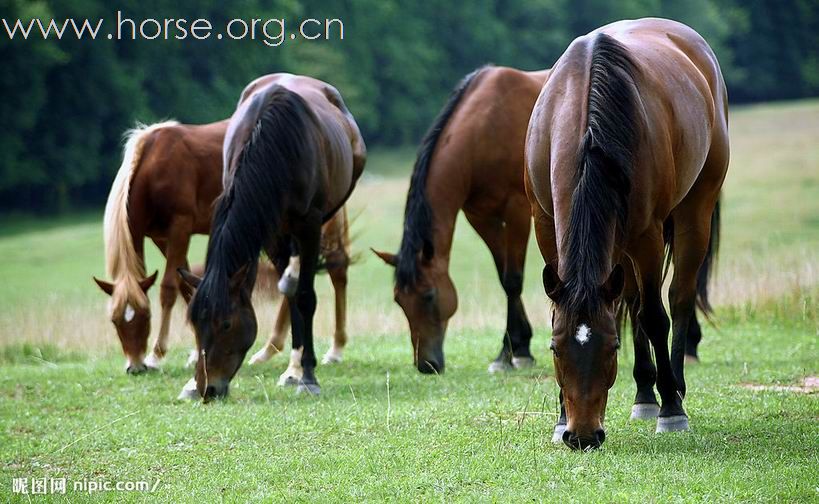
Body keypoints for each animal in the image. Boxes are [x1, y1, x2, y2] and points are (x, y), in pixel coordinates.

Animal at [180, 72, 368, 402]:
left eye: (226, 324)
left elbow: (305, 296)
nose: (208, 389)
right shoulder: (269, 230)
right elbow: (291, 295)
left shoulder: (309, 225)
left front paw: (308, 376)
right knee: (289, 287)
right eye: (195, 324)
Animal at [376, 65, 552, 374]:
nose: (426, 365)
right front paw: (518, 348)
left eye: (429, 295)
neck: (485, 130)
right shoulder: (481, 218)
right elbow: (503, 277)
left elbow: (513, 280)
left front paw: (510, 354)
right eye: (399, 300)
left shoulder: (517, 211)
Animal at [524, 17, 732, 448]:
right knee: (633, 299)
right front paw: (559, 418)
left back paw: (673, 389)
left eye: (611, 347)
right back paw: (644, 394)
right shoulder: (545, 226)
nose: (582, 436)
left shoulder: (648, 236)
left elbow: (654, 317)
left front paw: (671, 410)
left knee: (678, 297)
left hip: (694, 211)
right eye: (555, 348)